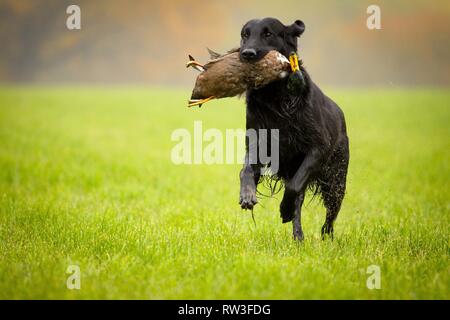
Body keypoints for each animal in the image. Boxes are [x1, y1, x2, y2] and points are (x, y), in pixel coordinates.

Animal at [237, 16, 350, 239]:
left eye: (268, 33)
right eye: (245, 35)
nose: (247, 54)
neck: (274, 96)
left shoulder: (318, 148)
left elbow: (294, 186)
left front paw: (285, 209)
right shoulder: (256, 144)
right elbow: (245, 171)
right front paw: (247, 195)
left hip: (336, 179)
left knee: (330, 213)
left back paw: (325, 234)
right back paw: (298, 236)